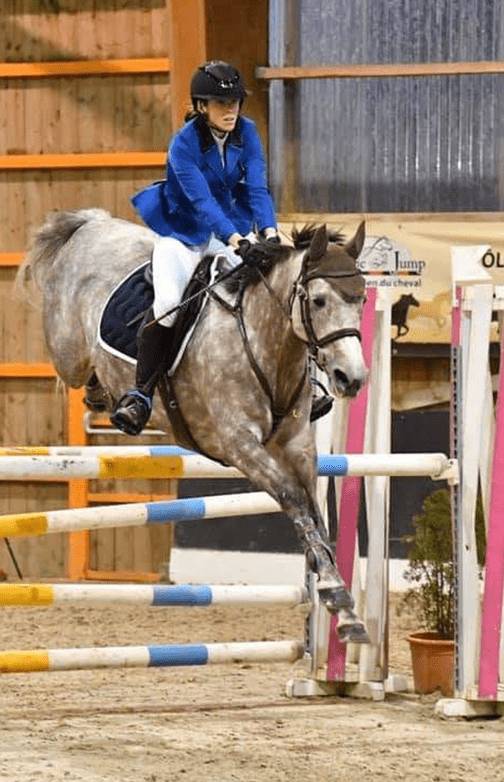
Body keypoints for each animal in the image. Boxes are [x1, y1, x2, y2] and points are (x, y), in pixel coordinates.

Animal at [17, 210, 368, 644]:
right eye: (318, 300)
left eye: (362, 299)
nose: (351, 378)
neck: (268, 341)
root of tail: (93, 224)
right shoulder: (239, 444)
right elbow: (295, 500)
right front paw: (335, 594)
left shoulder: (298, 444)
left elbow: (314, 513)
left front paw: (346, 612)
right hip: (69, 352)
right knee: (79, 366)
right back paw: (121, 401)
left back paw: (107, 396)